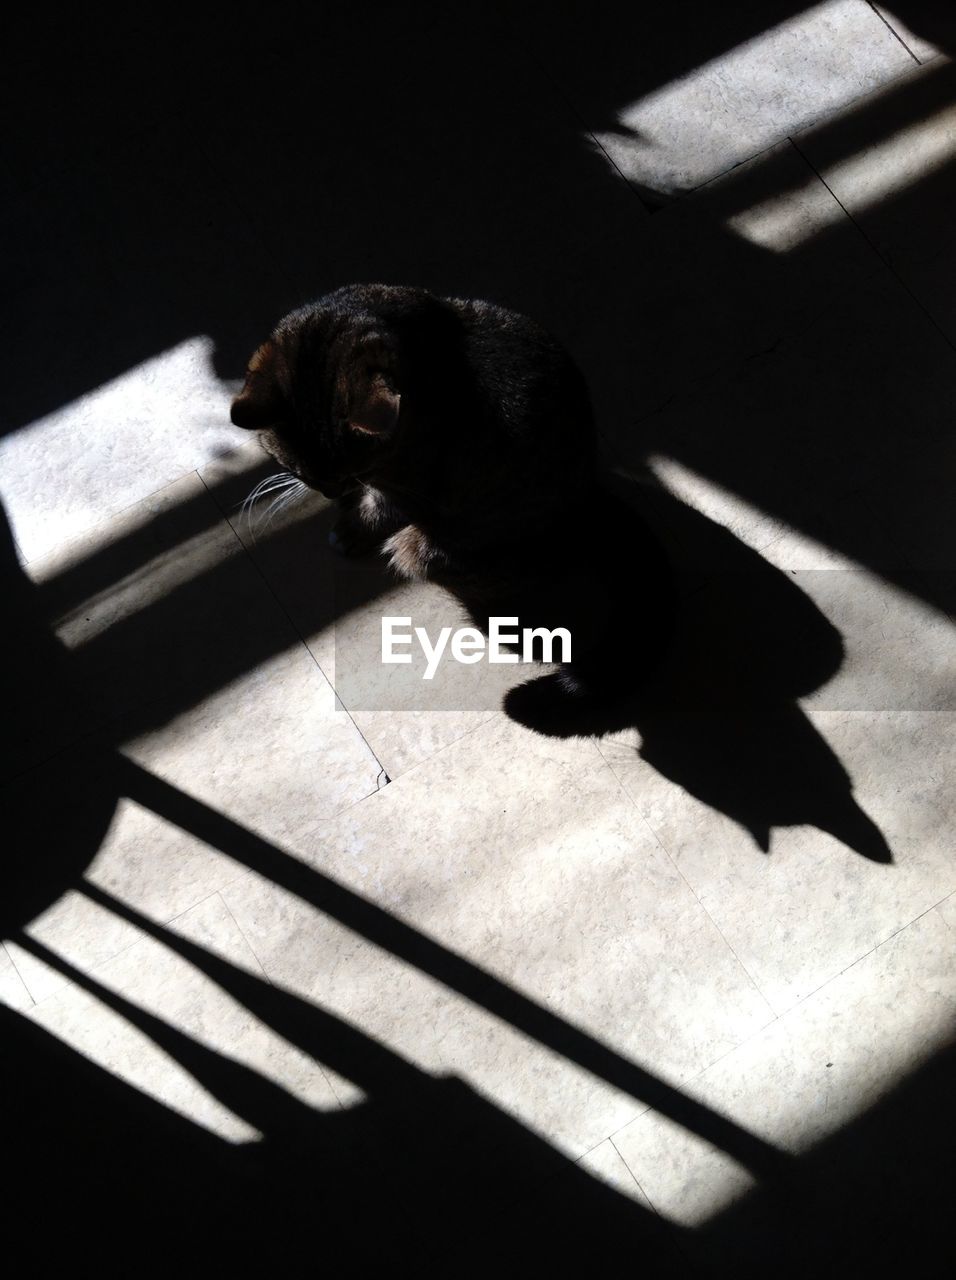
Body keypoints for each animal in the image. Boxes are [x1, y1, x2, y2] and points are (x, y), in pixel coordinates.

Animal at [230, 284, 670, 727]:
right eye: (296, 470)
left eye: (354, 470)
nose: (330, 493)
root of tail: (589, 498)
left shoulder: (409, 483)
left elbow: (381, 508)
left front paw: (353, 526)